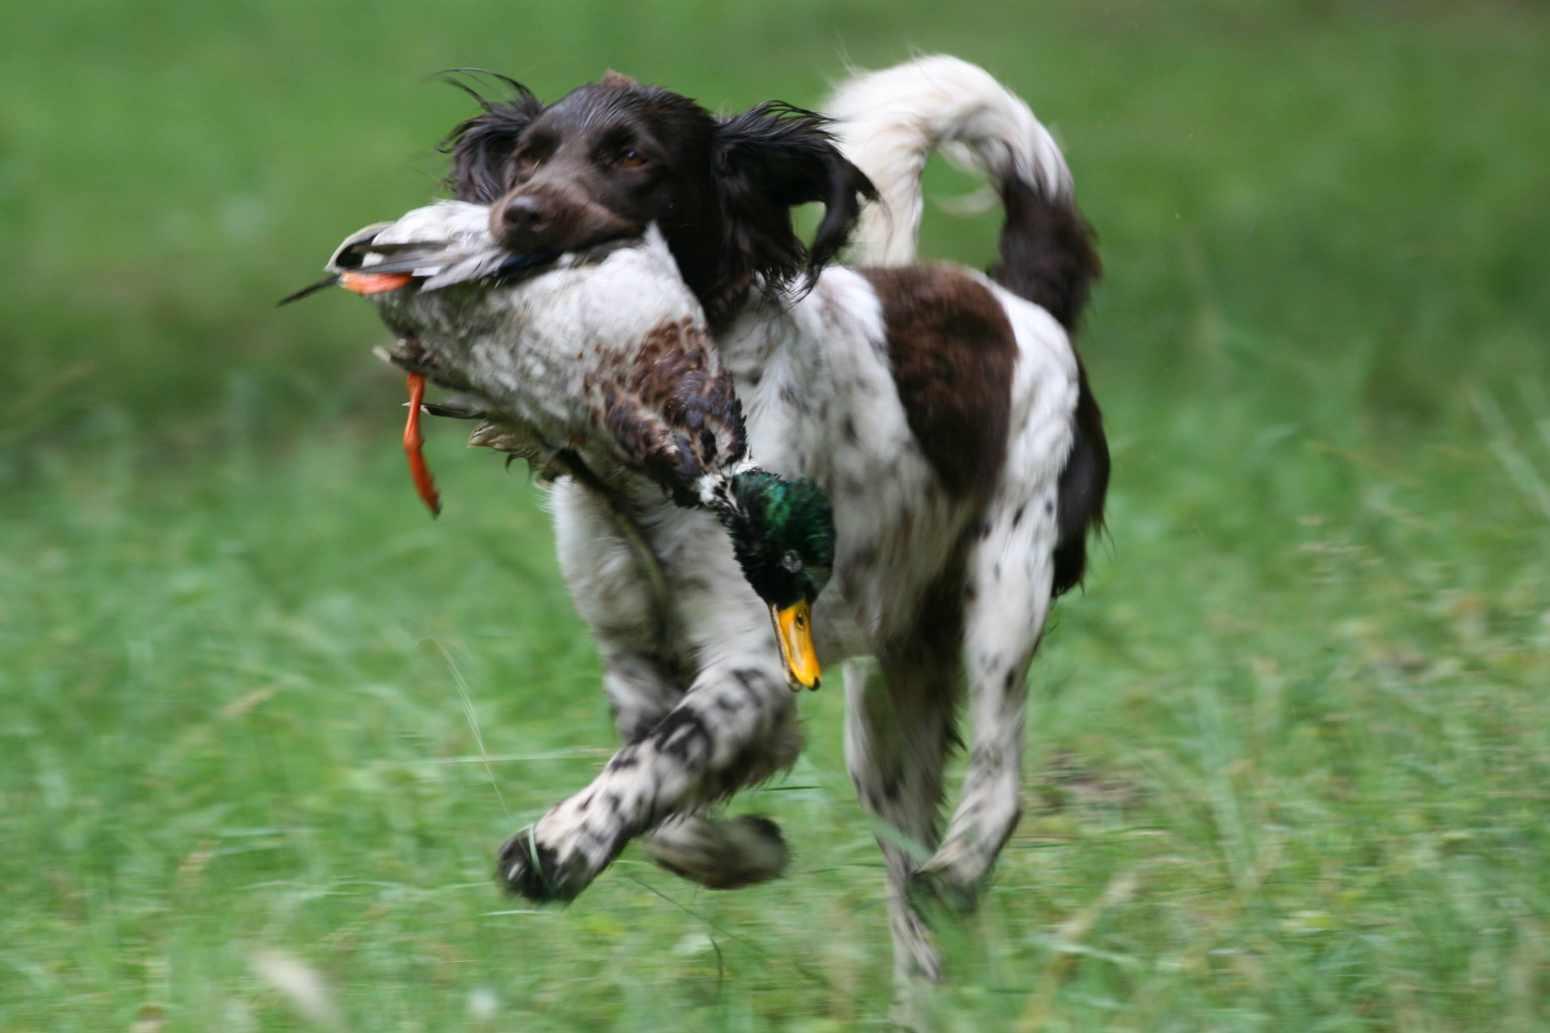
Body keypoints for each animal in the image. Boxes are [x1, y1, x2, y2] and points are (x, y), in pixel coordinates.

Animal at [443, 54, 1109, 998]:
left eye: (632, 156)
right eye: (529, 157)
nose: (520, 212)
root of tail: (1021, 301)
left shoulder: (751, 656)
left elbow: (653, 758)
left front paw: (556, 849)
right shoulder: (634, 654)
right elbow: (661, 788)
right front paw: (740, 851)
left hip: (1007, 584)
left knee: (998, 769)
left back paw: (963, 862)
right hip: (888, 707)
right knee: (907, 881)